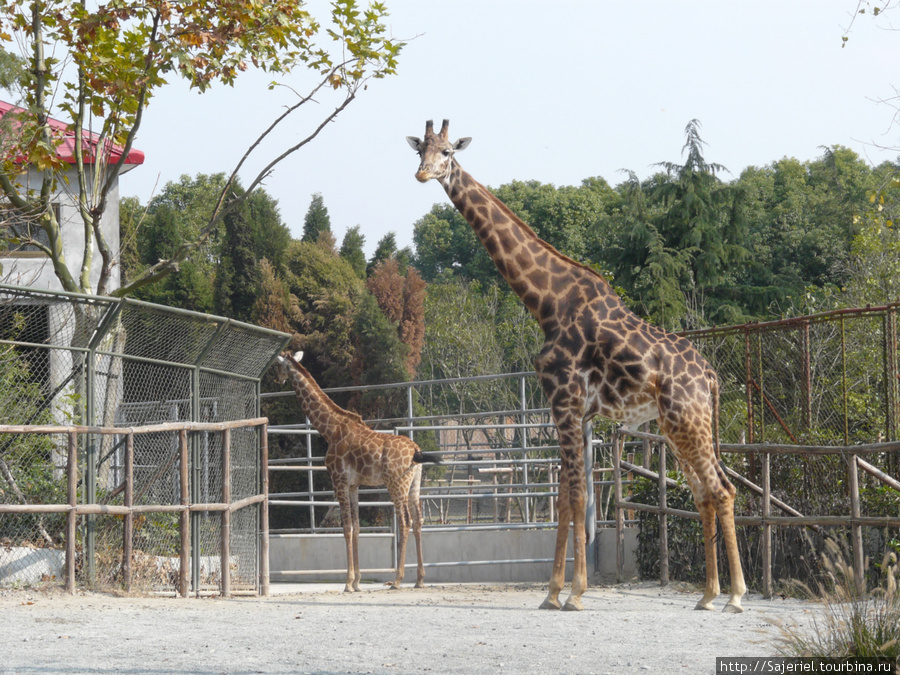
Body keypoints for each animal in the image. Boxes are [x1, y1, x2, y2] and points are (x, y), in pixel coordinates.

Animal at [276, 352, 442, 596]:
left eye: (277, 366)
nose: (277, 380)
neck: (330, 429)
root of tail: (416, 451)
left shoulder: (339, 480)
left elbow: (346, 528)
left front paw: (347, 583)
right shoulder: (354, 485)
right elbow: (357, 528)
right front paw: (357, 582)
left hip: (396, 483)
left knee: (405, 521)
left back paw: (397, 580)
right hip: (414, 484)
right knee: (419, 521)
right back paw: (420, 579)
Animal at [408, 120, 744, 612]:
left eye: (448, 151)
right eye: (420, 150)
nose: (423, 174)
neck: (545, 303)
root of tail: (711, 376)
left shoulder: (564, 400)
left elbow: (573, 493)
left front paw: (571, 593)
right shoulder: (577, 411)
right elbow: (569, 495)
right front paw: (554, 592)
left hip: (688, 419)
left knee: (721, 489)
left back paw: (735, 596)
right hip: (676, 425)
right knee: (706, 492)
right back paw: (707, 596)